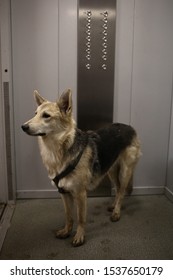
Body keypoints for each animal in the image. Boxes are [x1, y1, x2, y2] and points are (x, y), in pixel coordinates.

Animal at [21, 89, 141, 247]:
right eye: (35, 113)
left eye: (46, 116)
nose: (23, 126)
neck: (58, 151)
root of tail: (129, 127)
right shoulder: (64, 193)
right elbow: (68, 216)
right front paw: (66, 231)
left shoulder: (80, 193)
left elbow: (80, 218)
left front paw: (79, 236)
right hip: (110, 171)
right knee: (118, 187)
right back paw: (113, 206)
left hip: (125, 171)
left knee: (121, 191)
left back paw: (116, 212)